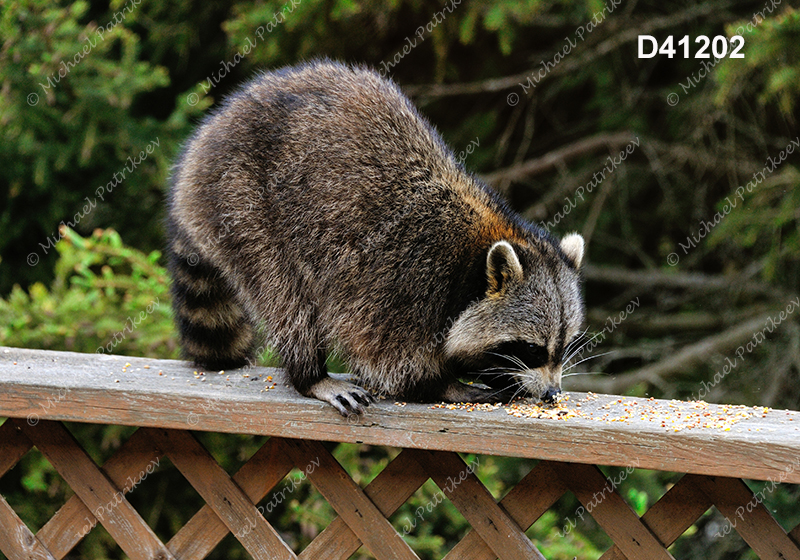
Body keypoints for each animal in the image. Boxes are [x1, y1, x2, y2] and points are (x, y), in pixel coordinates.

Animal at [169, 60, 584, 416]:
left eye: (562, 347)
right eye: (531, 349)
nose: (553, 392)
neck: (473, 253)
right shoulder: (401, 276)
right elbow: (389, 358)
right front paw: (440, 385)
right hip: (242, 201)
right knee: (286, 296)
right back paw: (310, 375)